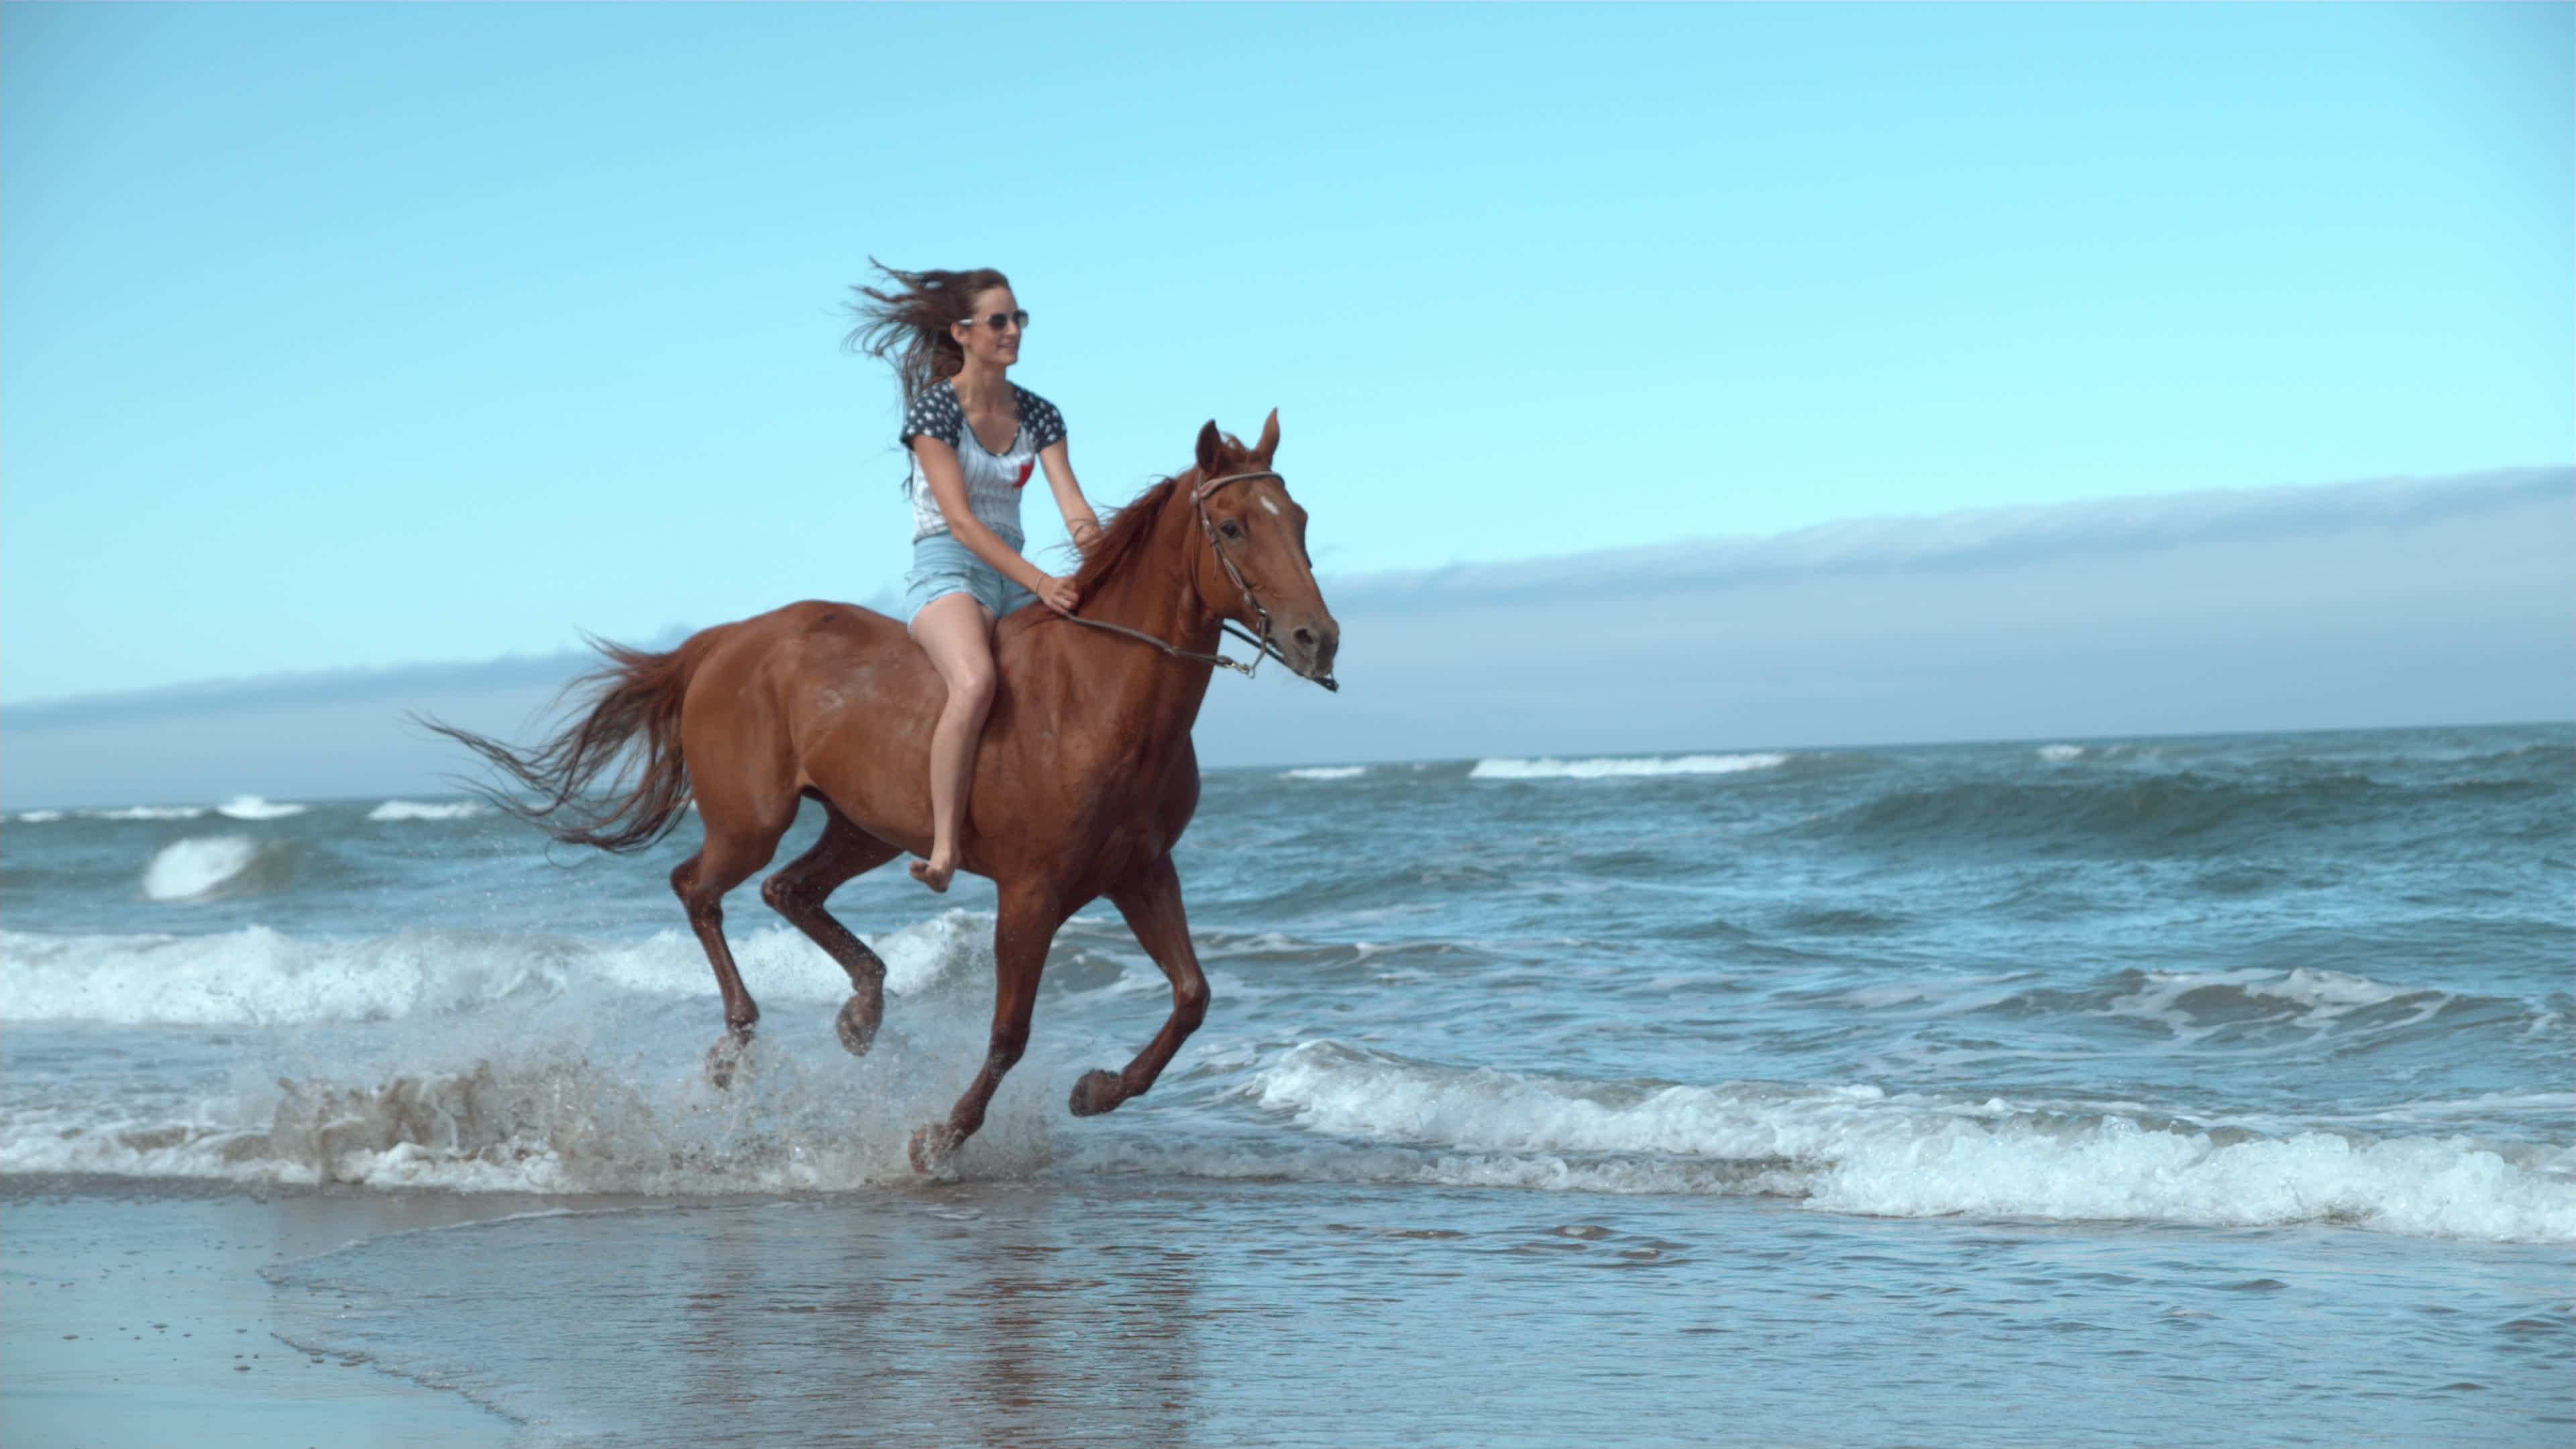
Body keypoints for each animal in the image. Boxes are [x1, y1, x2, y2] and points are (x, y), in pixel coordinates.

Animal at [435, 412, 1339, 1165]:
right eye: (1232, 525)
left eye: (1297, 520)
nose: (1317, 640)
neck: (1101, 695)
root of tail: (727, 640)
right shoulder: (1033, 892)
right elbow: (1010, 1032)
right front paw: (939, 1137)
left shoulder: (1141, 874)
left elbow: (1193, 998)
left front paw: (1097, 1091)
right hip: (752, 821)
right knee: (700, 887)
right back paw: (737, 1044)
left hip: (864, 826)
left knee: (789, 890)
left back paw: (860, 1014)